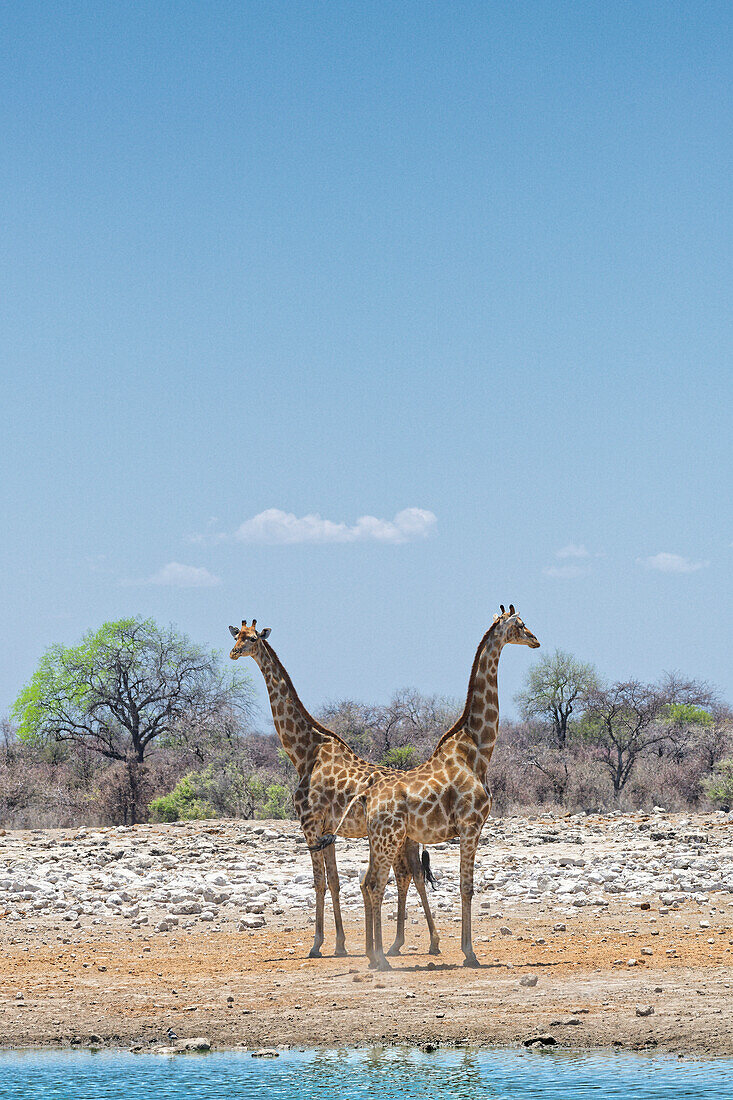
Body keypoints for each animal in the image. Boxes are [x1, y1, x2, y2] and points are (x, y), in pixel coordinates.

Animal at [226, 624, 440, 959]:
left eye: (252, 638)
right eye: (236, 635)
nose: (234, 652)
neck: (304, 752)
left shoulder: (310, 824)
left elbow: (319, 882)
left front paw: (316, 944)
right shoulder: (327, 830)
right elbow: (335, 882)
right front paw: (339, 944)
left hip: (398, 837)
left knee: (409, 875)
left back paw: (420, 943)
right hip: (405, 838)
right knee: (411, 875)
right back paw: (405, 943)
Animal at [316, 611, 539, 972]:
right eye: (520, 624)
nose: (536, 640)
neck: (477, 751)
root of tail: (366, 796)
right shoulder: (470, 826)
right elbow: (466, 887)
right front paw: (470, 953)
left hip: (380, 839)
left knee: (369, 882)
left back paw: (375, 956)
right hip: (388, 838)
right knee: (375, 884)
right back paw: (381, 958)